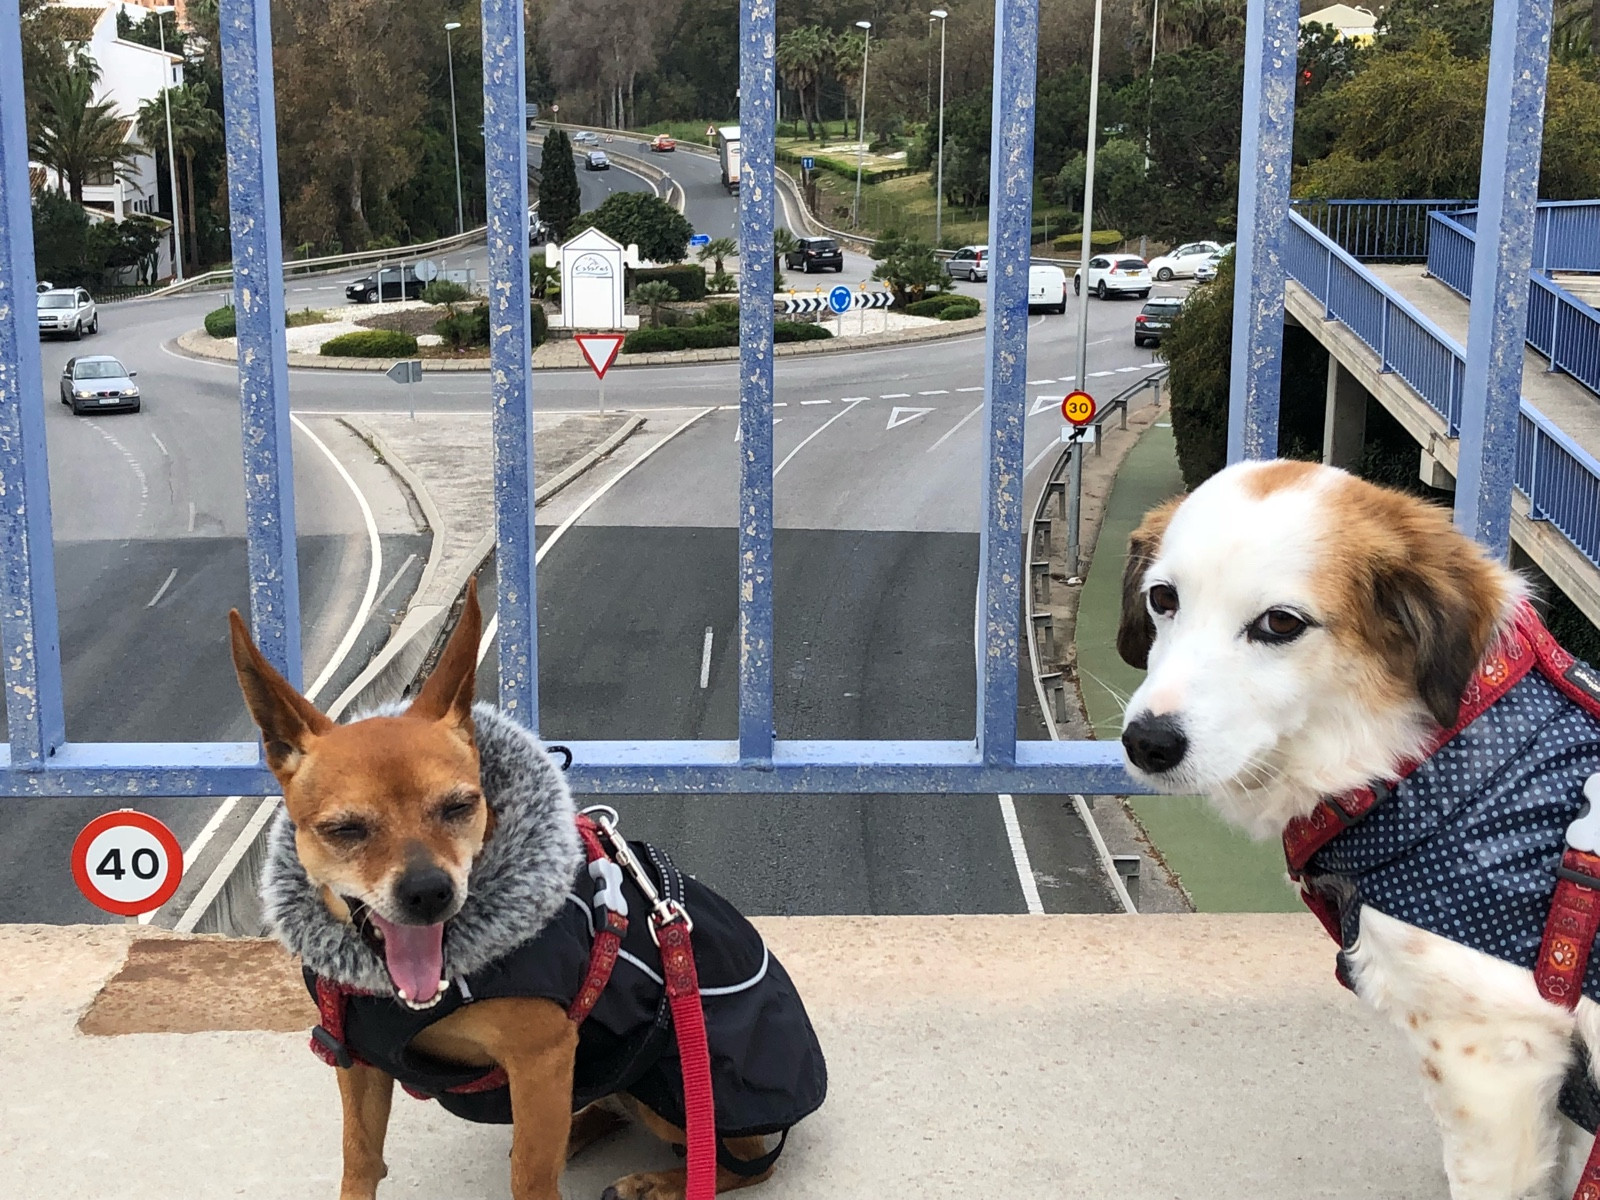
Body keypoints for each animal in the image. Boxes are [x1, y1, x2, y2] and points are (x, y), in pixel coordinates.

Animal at [229, 581, 826, 1200]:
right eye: (344, 830)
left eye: (460, 806)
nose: (428, 892)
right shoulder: (361, 1061)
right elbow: (361, 1159)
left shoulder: (542, 1057)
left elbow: (531, 1176)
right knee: (607, 1106)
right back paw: (583, 1127)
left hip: (675, 1079)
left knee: (744, 1159)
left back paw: (656, 1181)